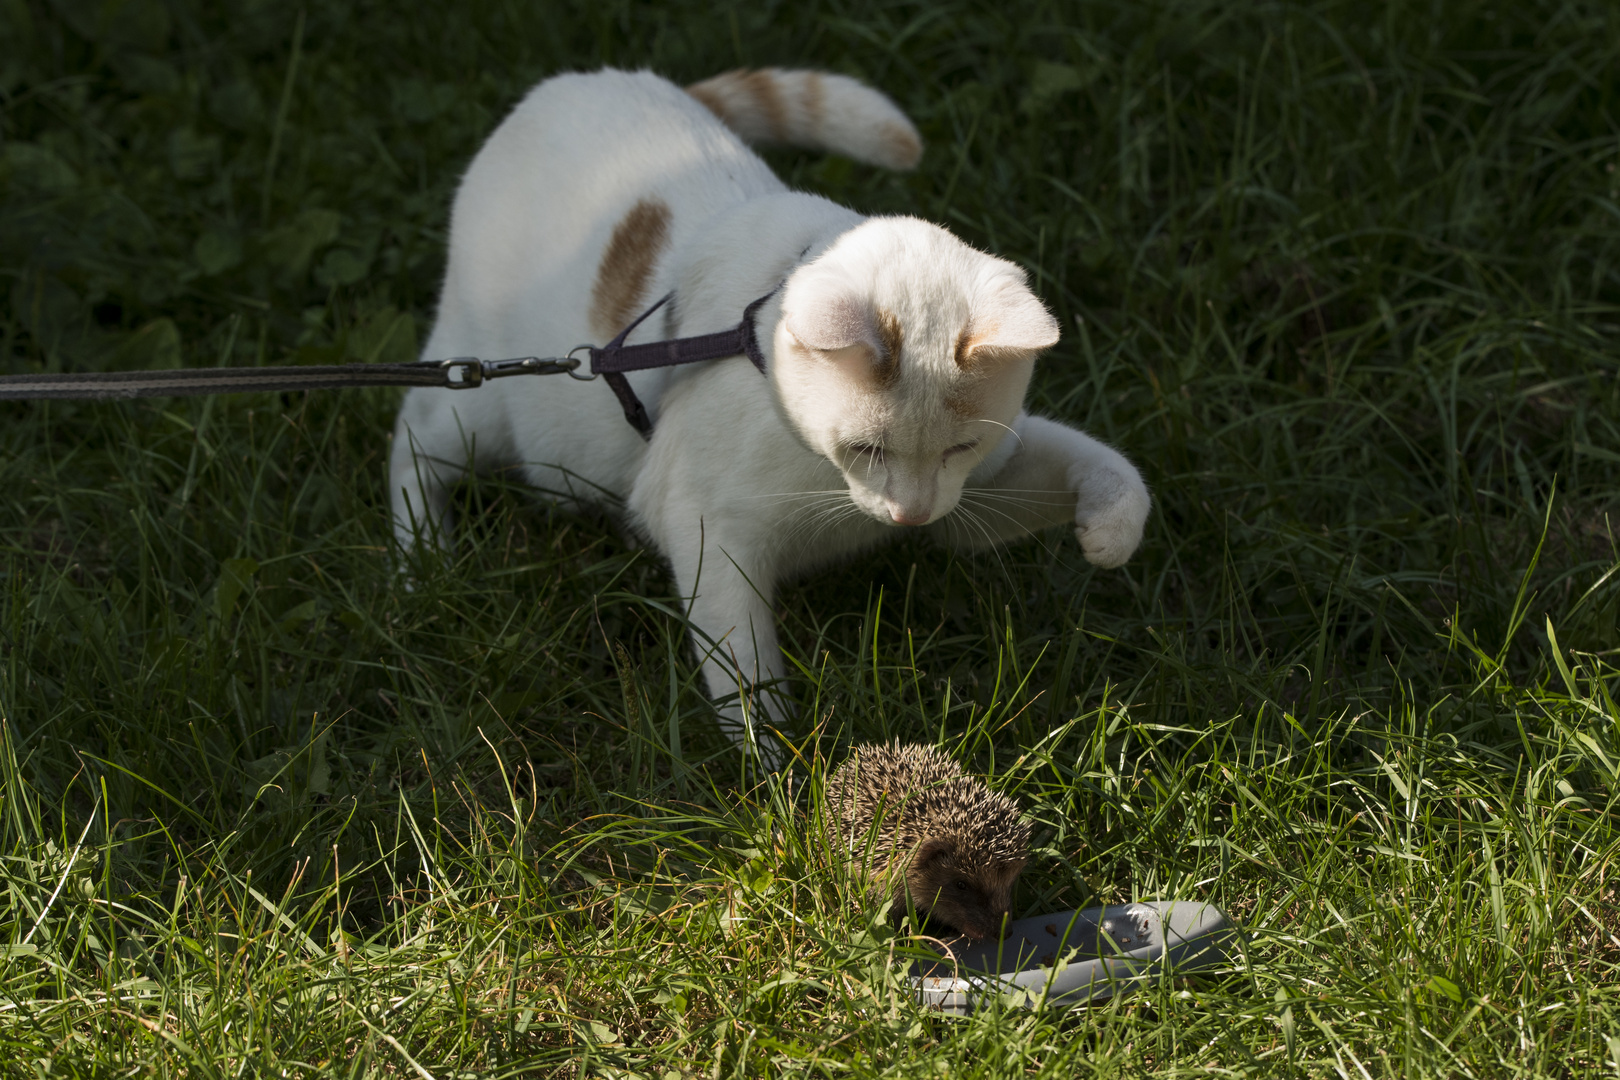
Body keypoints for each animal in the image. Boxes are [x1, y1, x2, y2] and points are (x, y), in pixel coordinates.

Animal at [392, 67, 1153, 761]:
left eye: (958, 450)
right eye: (866, 449)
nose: (908, 516)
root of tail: (578, 79)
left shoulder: (976, 495)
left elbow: (1103, 465)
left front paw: (1111, 527)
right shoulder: (708, 534)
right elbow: (745, 672)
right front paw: (776, 781)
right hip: (481, 403)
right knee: (411, 436)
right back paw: (422, 557)